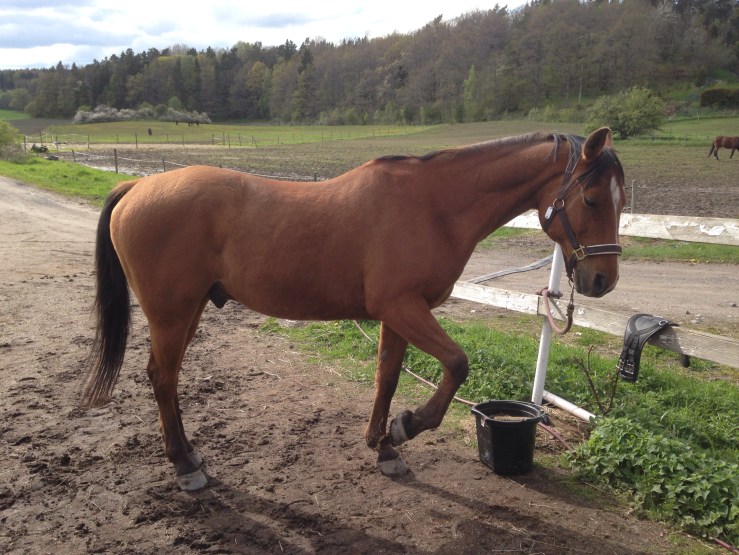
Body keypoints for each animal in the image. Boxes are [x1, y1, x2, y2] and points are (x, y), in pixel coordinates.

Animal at [82, 127, 626, 491]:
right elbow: (456, 364)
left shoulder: (399, 313)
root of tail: (137, 187)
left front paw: (384, 446)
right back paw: (184, 465)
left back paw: (189, 456)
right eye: (592, 199)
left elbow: (387, 375)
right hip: (172, 314)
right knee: (162, 377)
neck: (434, 205)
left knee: (166, 378)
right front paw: (407, 426)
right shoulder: (403, 306)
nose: (603, 280)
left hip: (189, 309)